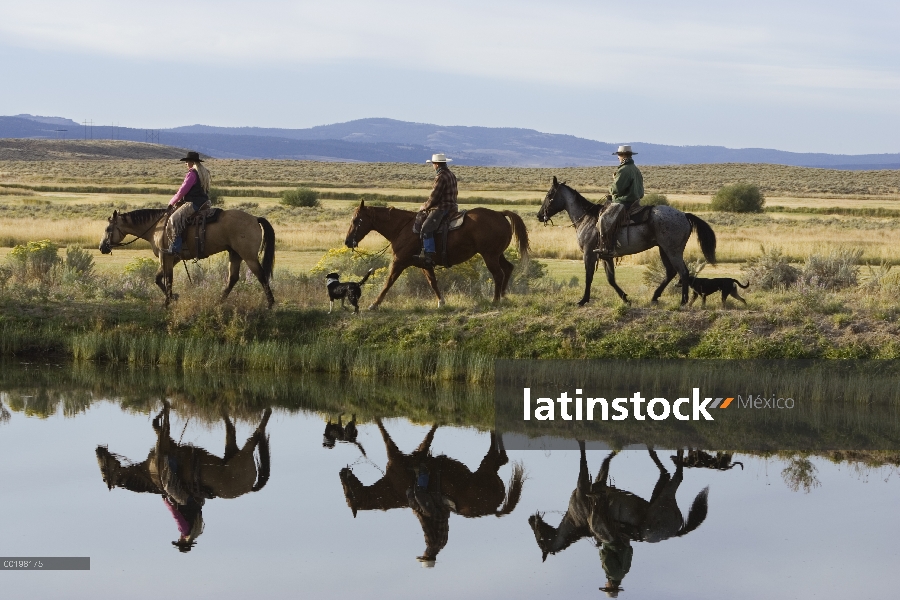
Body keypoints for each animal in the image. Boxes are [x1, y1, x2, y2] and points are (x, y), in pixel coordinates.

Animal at [97, 207, 274, 310]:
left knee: (261, 275)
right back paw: (219, 302)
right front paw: (173, 297)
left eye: (108, 229)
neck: (157, 227)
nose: (102, 247)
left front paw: (167, 301)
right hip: (235, 254)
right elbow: (158, 278)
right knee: (233, 278)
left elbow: (168, 278)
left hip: (248, 256)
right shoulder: (172, 258)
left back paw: (270, 303)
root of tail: (255, 218)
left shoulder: (166, 256)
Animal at [338, 420, 524, 564]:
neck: (393, 488)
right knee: (501, 458)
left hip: (485, 470)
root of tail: (493, 509)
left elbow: (389, 432)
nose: (341, 472)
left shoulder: (399, 454)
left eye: (348, 494)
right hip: (487, 470)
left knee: (498, 455)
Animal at [342, 200, 528, 308]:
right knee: (508, 269)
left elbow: (388, 282)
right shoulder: (425, 264)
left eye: (356, 220)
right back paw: (503, 296)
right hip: (497, 254)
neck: (402, 228)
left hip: (489, 255)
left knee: (498, 274)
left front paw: (374, 304)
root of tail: (500, 214)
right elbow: (433, 282)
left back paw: (495, 300)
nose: (348, 241)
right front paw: (441, 302)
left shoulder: (398, 262)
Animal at [536, 175, 716, 304]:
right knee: (671, 272)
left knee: (683, 272)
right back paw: (655, 297)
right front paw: (625, 298)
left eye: (549, 194)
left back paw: (683, 301)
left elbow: (589, 276)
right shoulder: (605, 256)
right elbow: (611, 279)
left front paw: (583, 300)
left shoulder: (589, 254)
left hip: (672, 250)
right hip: (663, 249)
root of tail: (684, 215)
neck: (587, 218)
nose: (539, 215)